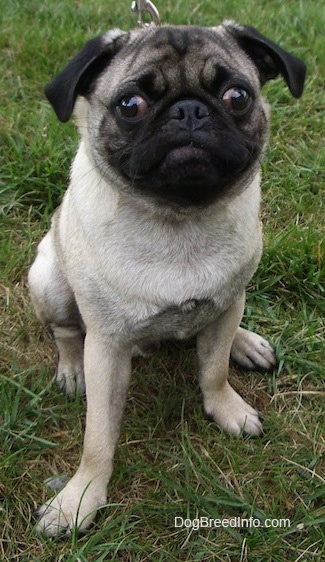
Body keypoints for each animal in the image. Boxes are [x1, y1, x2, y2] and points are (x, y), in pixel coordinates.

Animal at [27, 21, 304, 532]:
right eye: (130, 105)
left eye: (238, 96)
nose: (188, 109)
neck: (179, 220)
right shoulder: (107, 346)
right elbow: (98, 436)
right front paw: (80, 498)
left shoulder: (226, 303)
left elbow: (213, 371)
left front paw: (226, 408)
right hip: (49, 279)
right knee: (66, 331)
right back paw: (71, 368)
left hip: (232, 299)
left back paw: (245, 342)